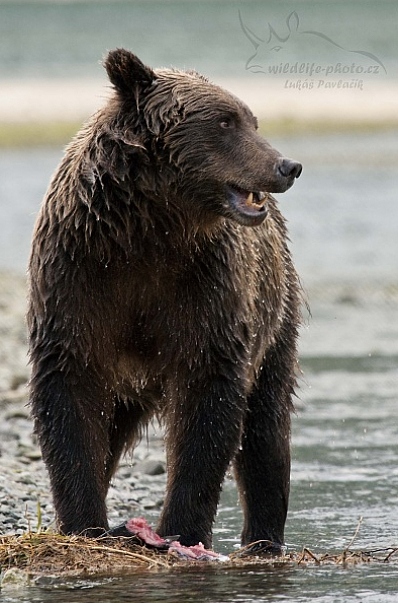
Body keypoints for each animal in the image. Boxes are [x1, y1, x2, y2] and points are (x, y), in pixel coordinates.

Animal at [28, 49, 302, 556]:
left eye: (250, 119)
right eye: (225, 121)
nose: (287, 165)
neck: (152, 227)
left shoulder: (206, 286)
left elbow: (208, 403)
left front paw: (183, 528)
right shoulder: (78, 277)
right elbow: (70, 396)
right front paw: (84, 523)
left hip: (275, 312)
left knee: (266, 428)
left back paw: (263, 540)